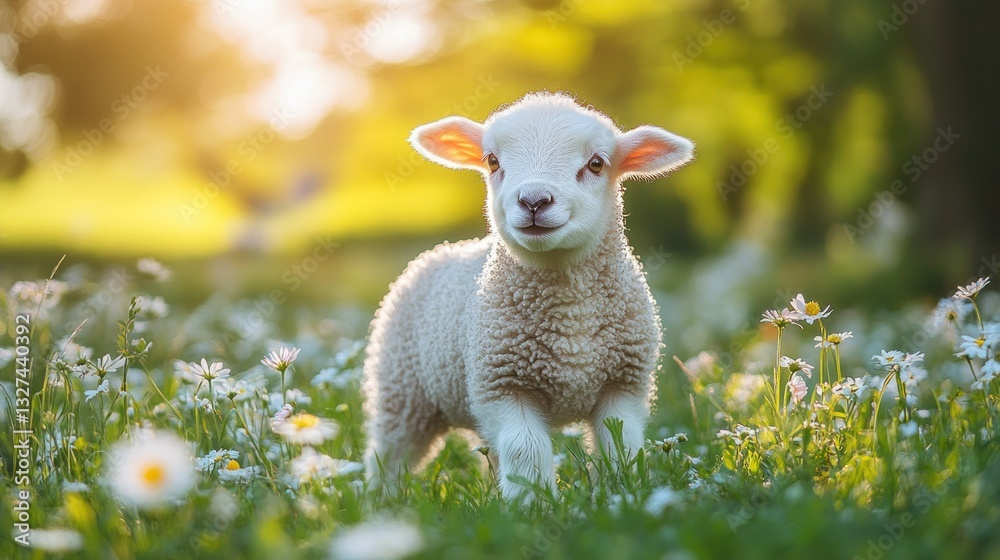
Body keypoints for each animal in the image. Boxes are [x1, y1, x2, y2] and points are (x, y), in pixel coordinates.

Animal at [363, 91, 694, 501]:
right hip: (402, 389)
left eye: (596, 163)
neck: (569, 314)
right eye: (492, 161)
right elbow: (527, 450)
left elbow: (621, 446)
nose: (534, 201)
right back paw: (382, 500)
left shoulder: (624, 384)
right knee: (391, 453)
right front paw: (534, 503)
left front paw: (622, 492)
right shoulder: (502, 385)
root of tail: (441, 250)